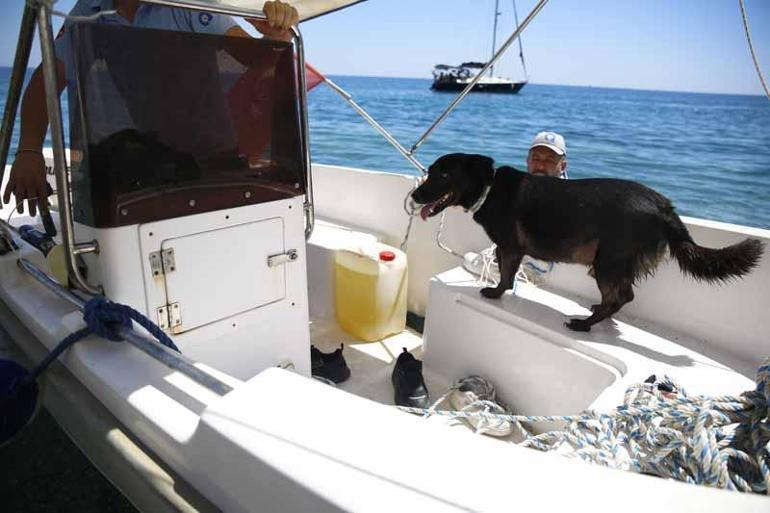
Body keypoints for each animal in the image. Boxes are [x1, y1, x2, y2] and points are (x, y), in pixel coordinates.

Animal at [412, 152, 760, 332]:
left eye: (443, 175)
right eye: (430, 171)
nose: (415, 195)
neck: (489, 187)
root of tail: (664, 208)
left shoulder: (510, 247)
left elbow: (506, 276)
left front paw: (495, 293)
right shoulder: (509, 249)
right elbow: (507, 274)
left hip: (607, 261)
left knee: (623, 296)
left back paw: (585, 324)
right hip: (613, 263)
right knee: (621, 295)